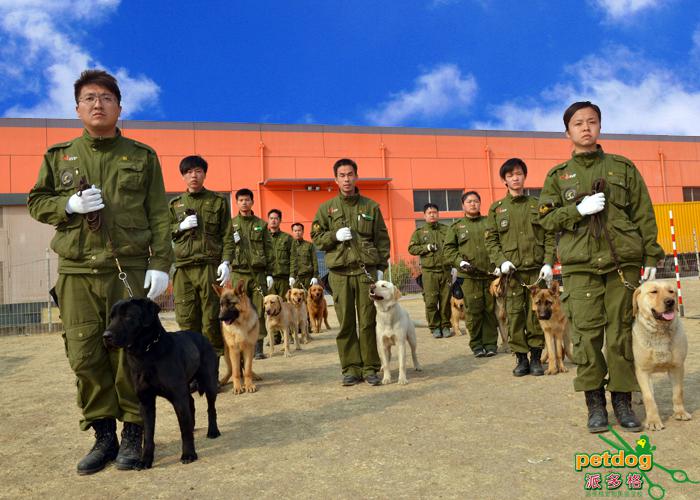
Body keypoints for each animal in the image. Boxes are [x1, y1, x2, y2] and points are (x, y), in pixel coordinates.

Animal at [102, 296, 219, 468]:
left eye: (128, 316)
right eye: (111, 317)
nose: (106, 336)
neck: (146, 354)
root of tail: (202, 336)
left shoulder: (178, 398)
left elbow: (184, 430)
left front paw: (189, 454)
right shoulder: (146, 402)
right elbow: (148, 436)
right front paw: (145, 460)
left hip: (209, 382)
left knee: (211, 408)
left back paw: (213, 431)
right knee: (191, 403)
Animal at [632, 282, 692, 430]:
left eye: (671, 291)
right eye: (654, 292)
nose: (670, 302)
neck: (660, 332)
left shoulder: (677, 367)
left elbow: (678, 393)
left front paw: (680, 412)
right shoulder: (643, 371)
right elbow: (649, 398)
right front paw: (653, 421)